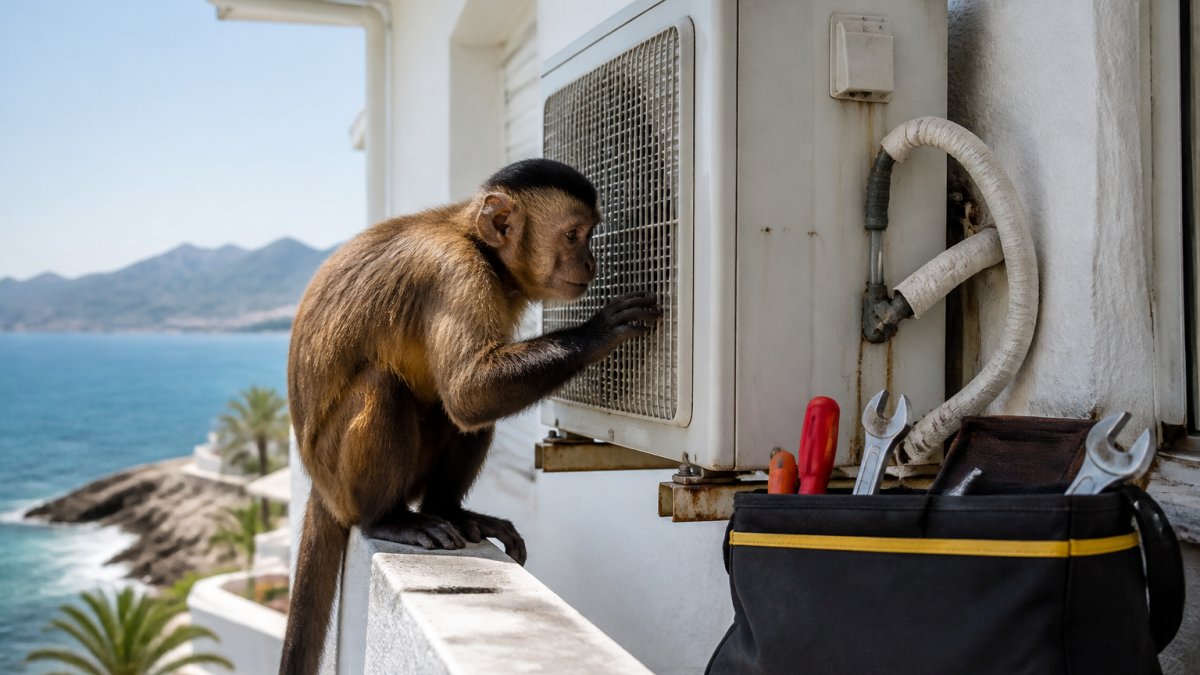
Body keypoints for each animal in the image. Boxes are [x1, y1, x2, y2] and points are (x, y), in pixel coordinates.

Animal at [279, 158, 661, 675]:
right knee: (391, 387)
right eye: (573, 235)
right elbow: (470, 392)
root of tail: (320, 487)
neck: (475, 242)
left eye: (590, 236)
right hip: (340, 479)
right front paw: (598, 331)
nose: (591, 263)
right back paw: (387, 519)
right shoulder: (454, 271)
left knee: (452, 414)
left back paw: (449, 510)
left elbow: (468, 403)